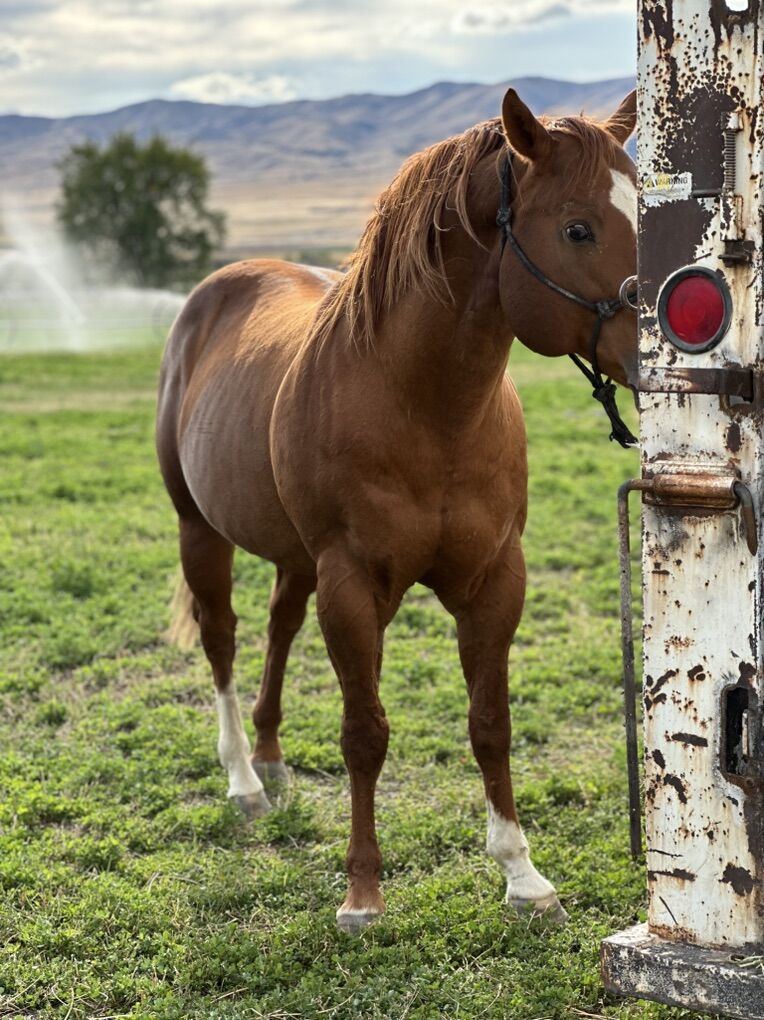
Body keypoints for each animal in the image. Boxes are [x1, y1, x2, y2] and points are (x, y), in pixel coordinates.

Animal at [156, 86, 638, 933]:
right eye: (578, 227)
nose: (674, 343)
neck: (424, 407)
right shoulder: (352, 586)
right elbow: (365, 733)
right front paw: (362, 894)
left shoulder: (492, 582)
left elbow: (490, 723)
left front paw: (523, 876)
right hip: (201, 533)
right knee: (223, 641)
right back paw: (244, 779)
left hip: (295, 557)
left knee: (279, 624)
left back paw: (272, 758)